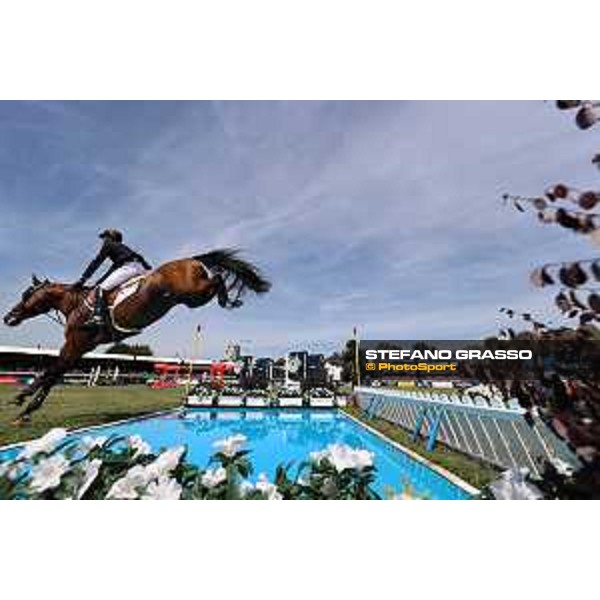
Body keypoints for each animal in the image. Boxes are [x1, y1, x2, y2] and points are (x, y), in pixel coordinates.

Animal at [2, 247, 270, 422]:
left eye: (26, 295)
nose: (8, 317)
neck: (74, 304)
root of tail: (190, 259)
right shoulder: (80, 348)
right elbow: (53, 374)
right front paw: (26, 407)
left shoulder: (76, 343)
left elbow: (50, 371)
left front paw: (22, 401)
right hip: (193, 299)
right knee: (216, 279)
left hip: (194, 293)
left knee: (218, 278)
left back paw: (229, 299)